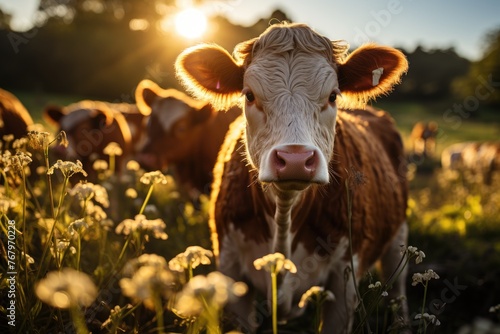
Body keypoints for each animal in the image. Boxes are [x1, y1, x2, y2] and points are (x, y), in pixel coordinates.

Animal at [176, 22, 410, 332]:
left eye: (333, 95)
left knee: (399, 289)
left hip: (399, 236)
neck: (285, 214)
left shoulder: (345, 277)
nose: (295, 160)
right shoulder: (230, 269)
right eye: (249, 95)